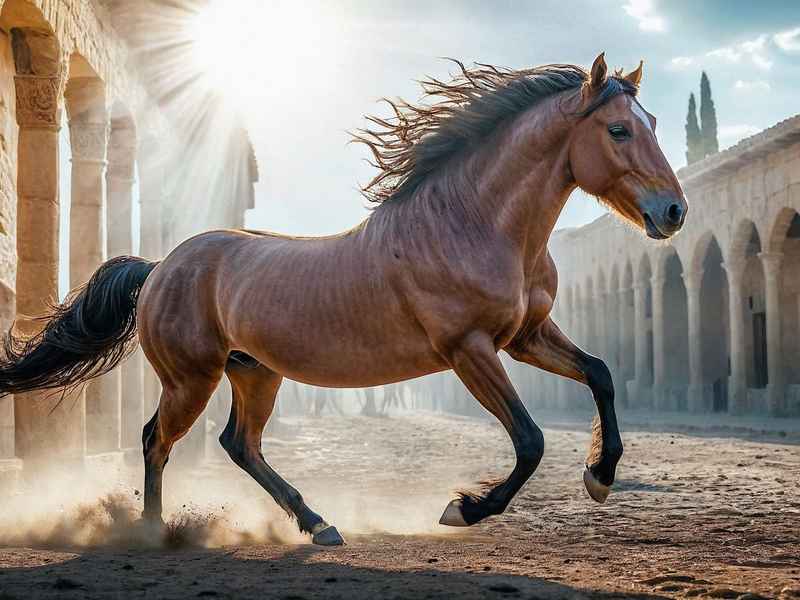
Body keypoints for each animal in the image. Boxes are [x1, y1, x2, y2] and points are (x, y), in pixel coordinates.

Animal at [0, 53, 686, 546]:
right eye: (619, 129)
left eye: (652, 124)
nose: (674, 212)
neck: (472, 223)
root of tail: (160, 265)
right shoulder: (469, 348)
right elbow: (530, 439)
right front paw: (463, 508)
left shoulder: (525, 336)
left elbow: (600, 374)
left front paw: (600, 477)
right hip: (191, 378)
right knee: (155, 441)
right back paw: (150, 531)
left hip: (255, 374)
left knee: (239, 445)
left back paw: (319, 524)